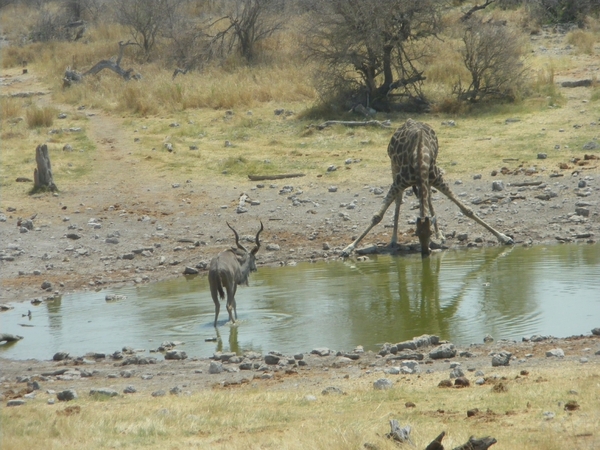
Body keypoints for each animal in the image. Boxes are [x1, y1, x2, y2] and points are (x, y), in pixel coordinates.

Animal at [340, 118, 512, 256]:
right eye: (416, 233)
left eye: (428, 233)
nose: (425, 252)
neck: (420, 159)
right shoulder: (399, 181)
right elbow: (377, 216)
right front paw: (348, 248)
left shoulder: (437, 178)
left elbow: (466, 210)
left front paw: (504, 237)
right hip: (393, 166)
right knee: (399, 200)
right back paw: (394, 239)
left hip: (427, 179)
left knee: (428, 196)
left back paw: (440, 236)